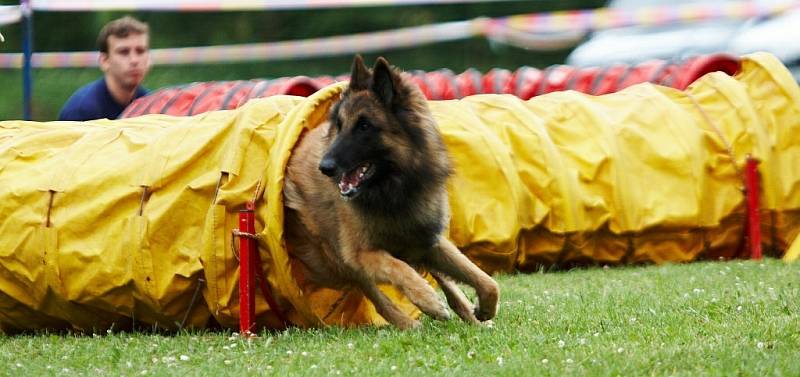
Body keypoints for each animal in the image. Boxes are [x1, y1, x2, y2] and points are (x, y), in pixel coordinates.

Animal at [282, 54, 500, 328]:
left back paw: (468, 314)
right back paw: (408, 322)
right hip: (334, 256)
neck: (394, 189)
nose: (325, 167)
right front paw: (427, 300)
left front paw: (483, 310)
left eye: (364, 126)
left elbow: (486, 281)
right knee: (374, 293)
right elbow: (397, 268)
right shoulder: (361, 253)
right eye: (339, 125)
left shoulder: (427, 238)